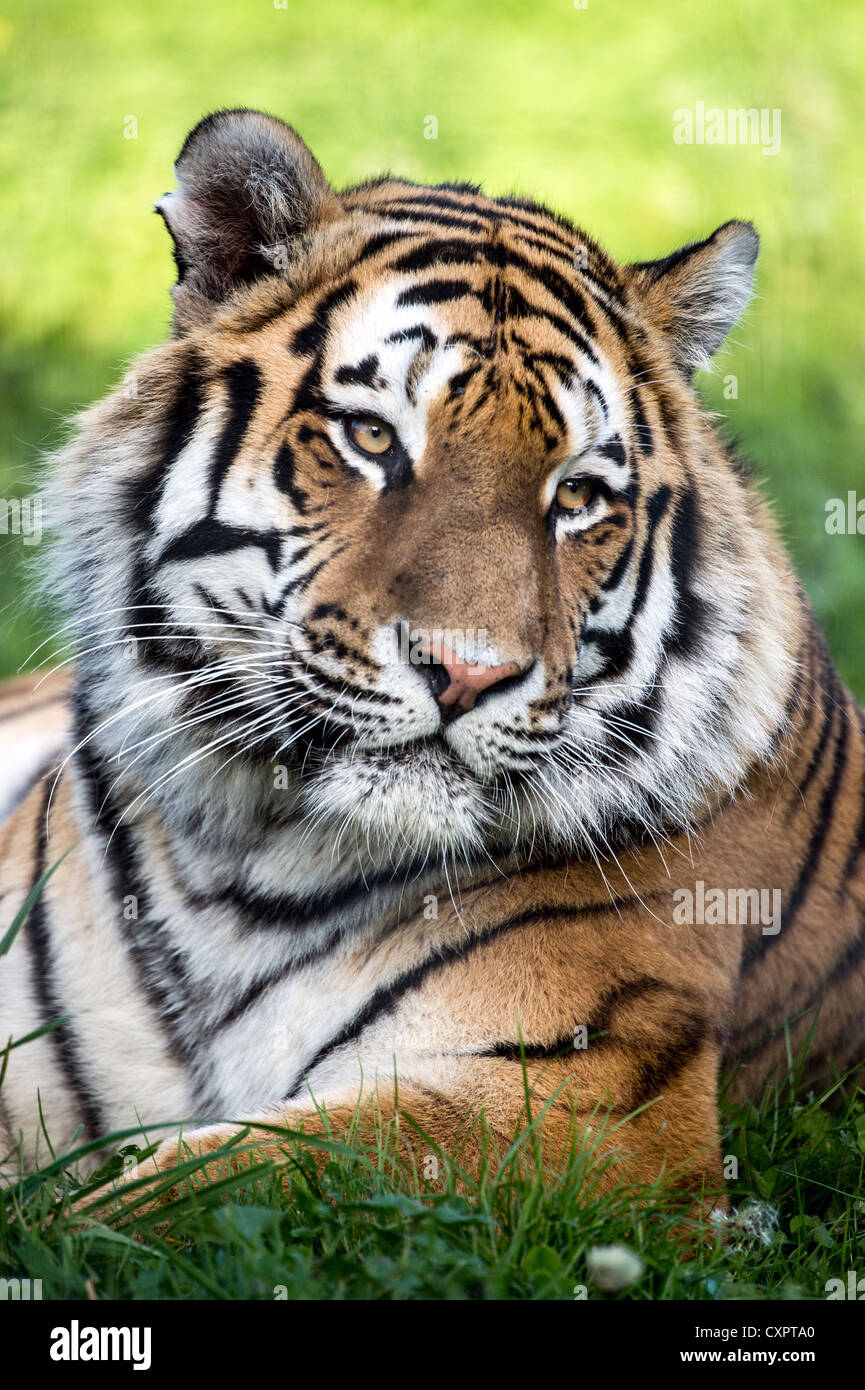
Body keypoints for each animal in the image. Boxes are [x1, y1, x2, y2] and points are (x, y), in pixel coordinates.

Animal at [0, 102, 862, 1212]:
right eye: (372, 438)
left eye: (576, 495)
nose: (467, 672)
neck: (238, 875)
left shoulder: (584, 1109)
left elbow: (203, 1183)